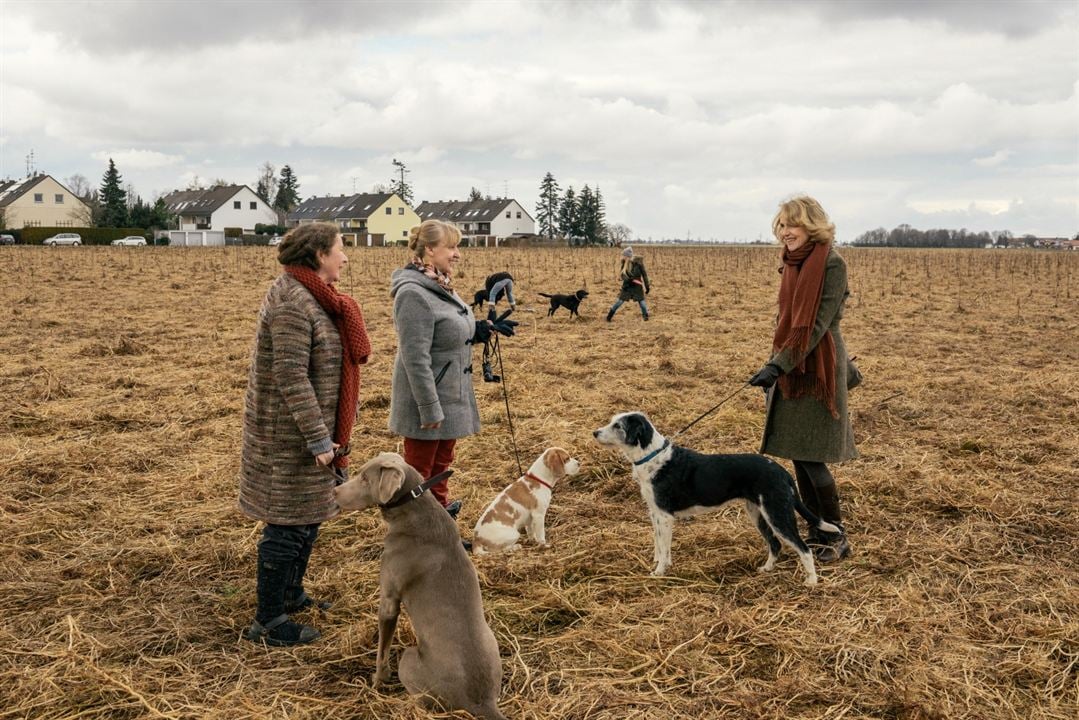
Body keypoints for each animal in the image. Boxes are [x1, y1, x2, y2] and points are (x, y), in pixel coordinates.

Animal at [336, 453, 504, 716]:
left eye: (364, 478)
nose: (334, 491)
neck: (412, 510)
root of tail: (483, 702)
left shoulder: (389, 601)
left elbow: (382, 649)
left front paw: (378, 680)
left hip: (409, 658)